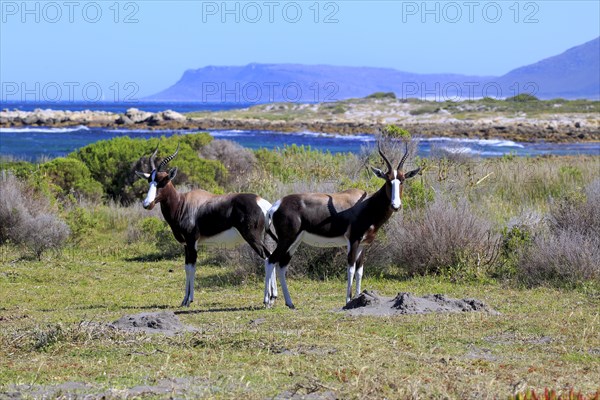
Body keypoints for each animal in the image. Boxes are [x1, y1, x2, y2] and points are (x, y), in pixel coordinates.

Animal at [135, 145, 276, 308]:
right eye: (149, 181)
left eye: (162, 182)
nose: (147, 204)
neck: (183, 203)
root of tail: (262, 203)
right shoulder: (186, 245)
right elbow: (187, 268)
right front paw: (185, 300)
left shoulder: (192, 241)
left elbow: (191, 268)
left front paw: (188, 300)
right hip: (262, 236)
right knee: (271, 256)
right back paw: (273, 298)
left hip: (252, 237)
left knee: (267, 258)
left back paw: (267, 301)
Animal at [264, 142, 420, 308]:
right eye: (388, 180)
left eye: (402, 180)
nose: (395, 205)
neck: (365, 205)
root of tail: (276, 206)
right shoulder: (353, 240)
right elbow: (350, 268)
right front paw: (348, 300)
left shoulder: (363, 244)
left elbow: (359, 270)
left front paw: (358, 298)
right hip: (286, 240)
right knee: (270, 260)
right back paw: (267, 301)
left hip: (295, 242)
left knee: (281, 265)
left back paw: (290, 303)